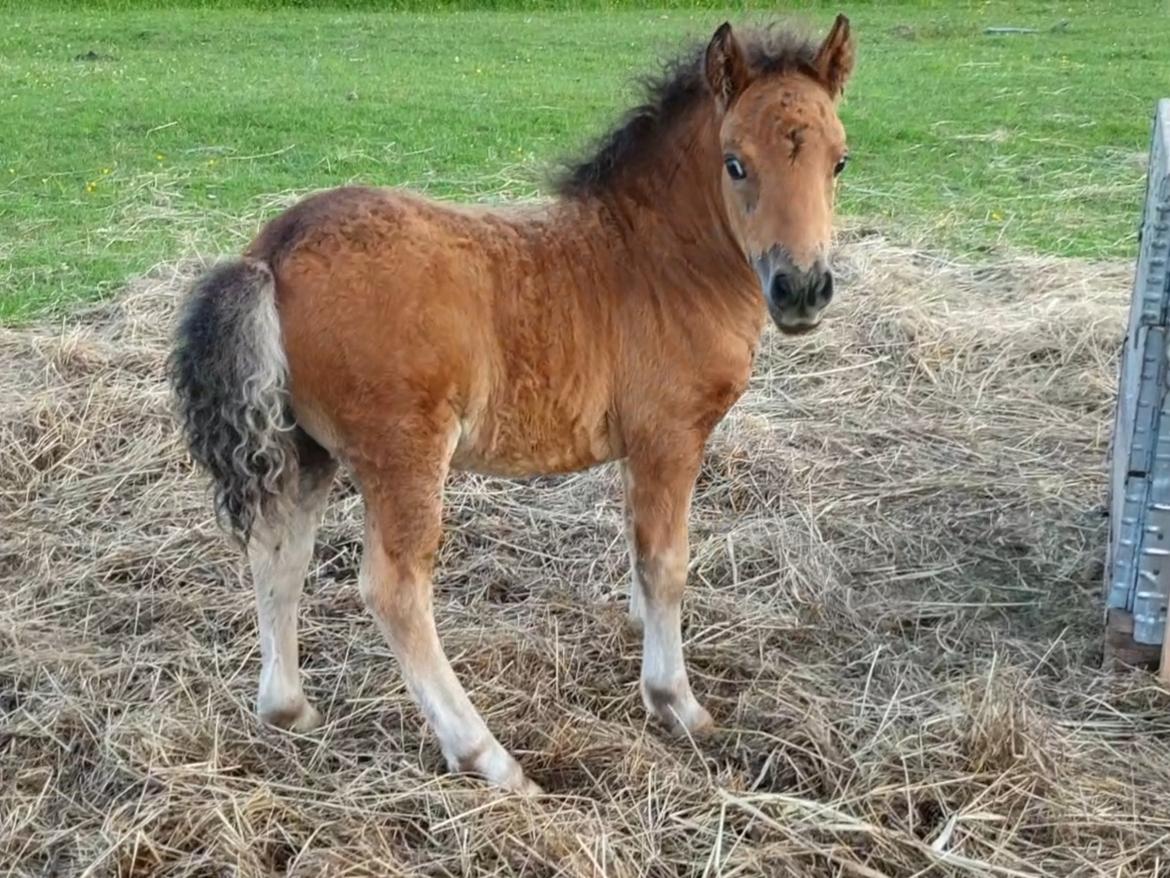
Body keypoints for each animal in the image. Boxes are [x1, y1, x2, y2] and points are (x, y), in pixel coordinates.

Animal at [169, 15, 856, 796]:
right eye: (735, 163)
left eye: (839, 161)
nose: (802, 289)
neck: (661, 262)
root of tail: (273, 252)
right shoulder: (671, 435)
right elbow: (667, 562)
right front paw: (675, 702)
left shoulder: (637, 449)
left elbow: (639, 552)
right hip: (404, 452)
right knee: (393, 587)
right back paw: (488, 757)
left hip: (304, 448)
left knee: (278, 553)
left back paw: (287, 711)